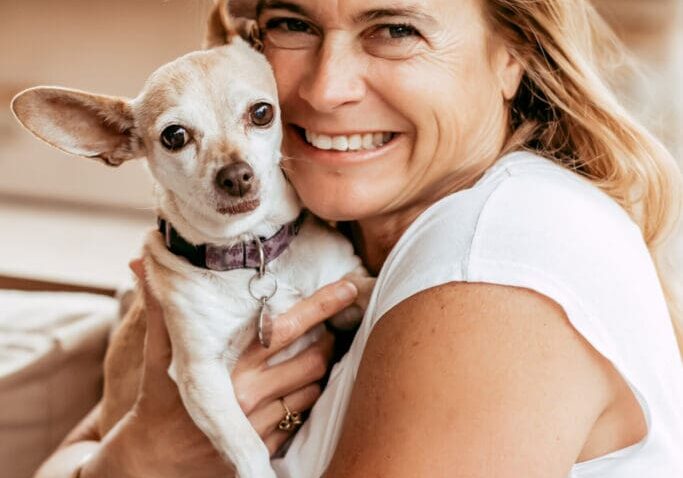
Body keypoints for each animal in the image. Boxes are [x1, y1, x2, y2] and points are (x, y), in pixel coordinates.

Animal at [10, 1, 372, 476]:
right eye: (175, 136)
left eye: (262, 113)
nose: (236, 175)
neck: (253, 255)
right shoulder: (202, 374)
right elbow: (249, 447)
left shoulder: (345, 292)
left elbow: (367, 289)